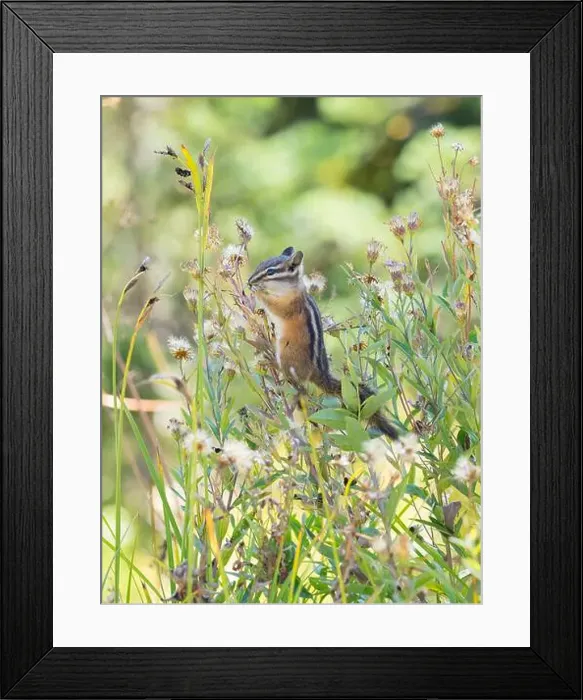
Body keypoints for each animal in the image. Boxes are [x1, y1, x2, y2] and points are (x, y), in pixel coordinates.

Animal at [247, 246, 398, 440]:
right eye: (260, 264)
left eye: (270, 272)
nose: (249, 281)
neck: (290, 289)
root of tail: (319, 374)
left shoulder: (290, 305)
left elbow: (276, 307)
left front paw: (258, 292)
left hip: (287, 354)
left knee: (297, 383)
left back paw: (273, 362)